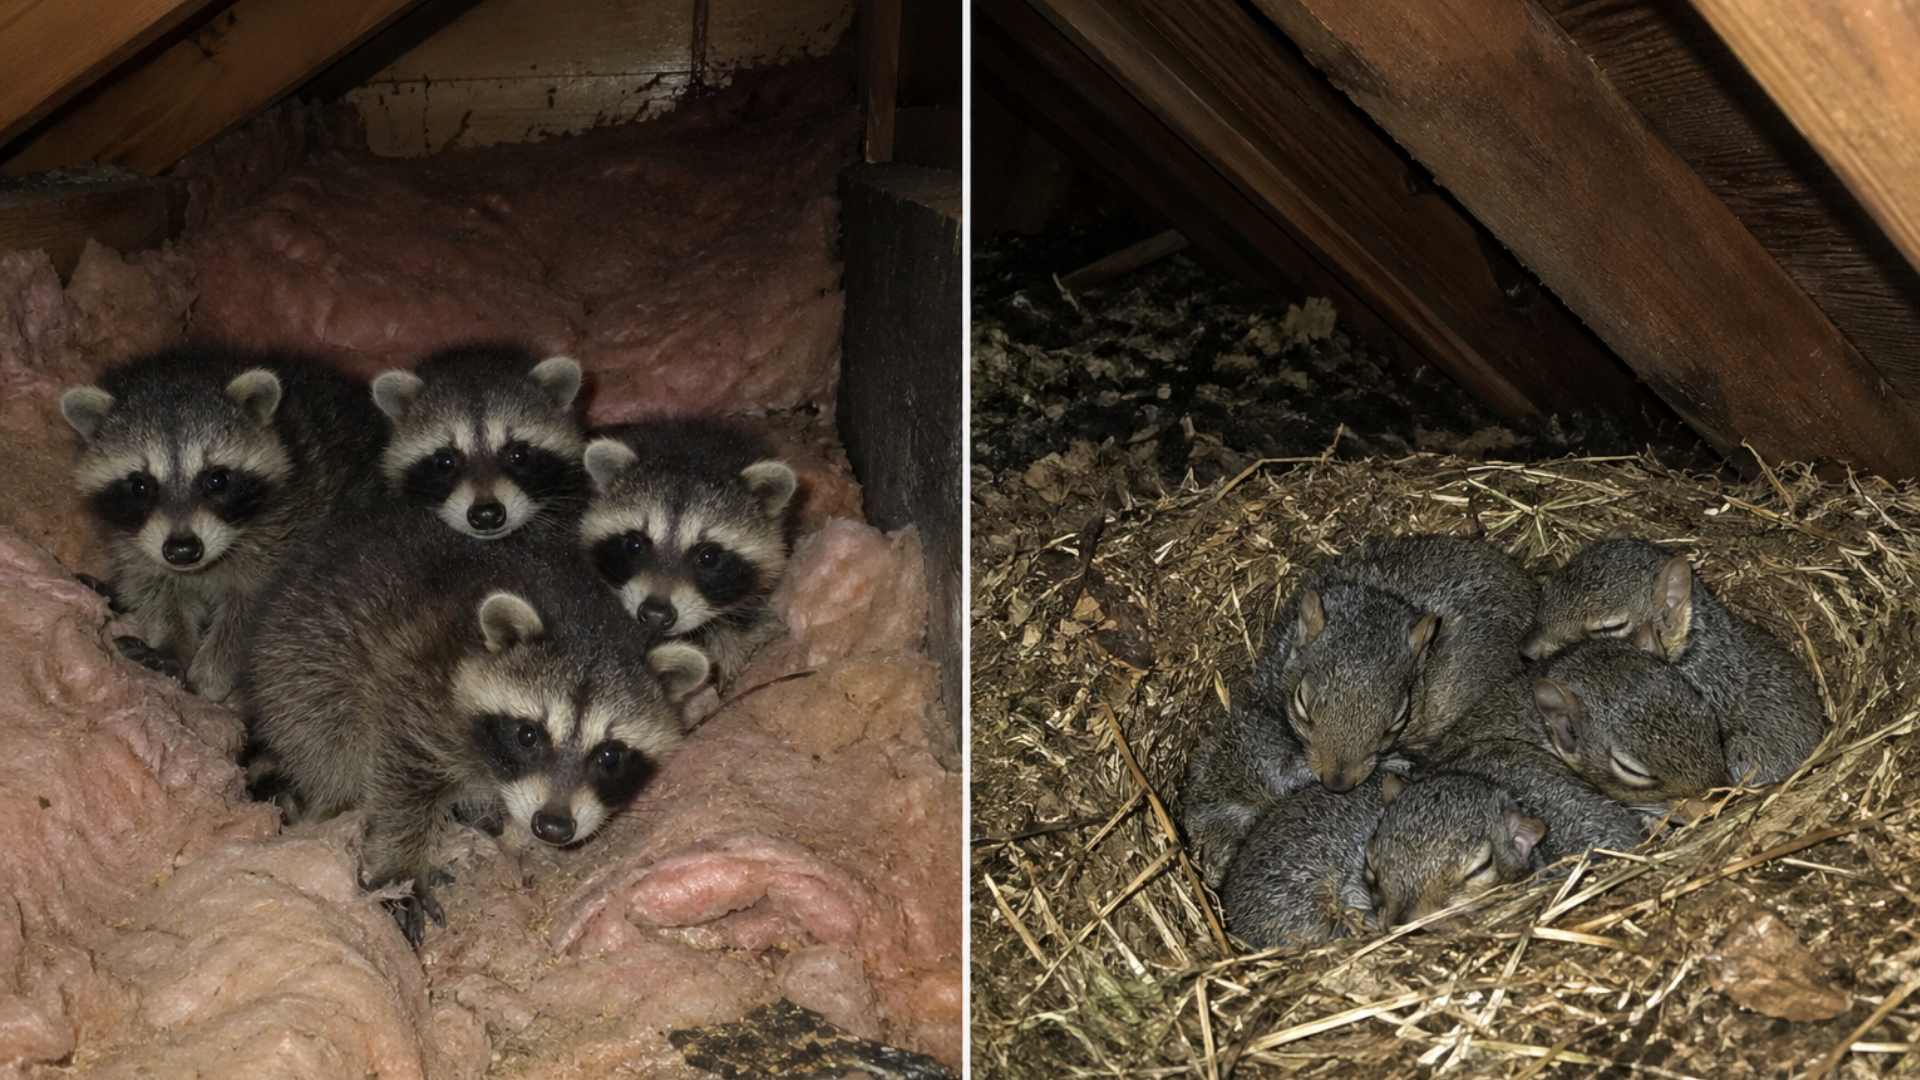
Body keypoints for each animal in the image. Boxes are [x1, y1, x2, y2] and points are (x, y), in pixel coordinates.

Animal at [60, 344, 385, 701]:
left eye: (217, 480)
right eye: (140, 486)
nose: (183, 550)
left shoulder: (291, 526)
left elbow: (249, 617)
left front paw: (211, 675)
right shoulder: (133, 540)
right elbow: (156, 587)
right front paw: (172, 643)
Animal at [242, 503, 707, 946]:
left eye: (610, 756)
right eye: (527, 735)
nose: (553, 827)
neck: (584, 620)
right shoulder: (420, 689)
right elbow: (400, 777)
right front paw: (401, 866)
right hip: (301, 658)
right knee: (325, 739)